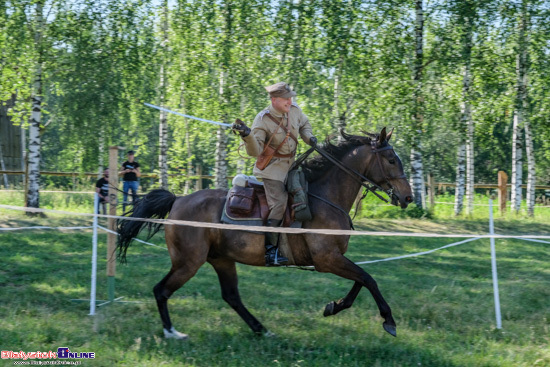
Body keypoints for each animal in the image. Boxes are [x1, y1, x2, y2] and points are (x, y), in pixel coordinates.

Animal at [117, 128, 414, 340]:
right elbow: (368, 279)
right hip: (188, 261)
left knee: (231, 297)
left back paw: (261, 329)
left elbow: (361, 281)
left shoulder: (334, 258)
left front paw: (334, 306)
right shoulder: (327, 259)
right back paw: (172, 332)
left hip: (221, 259)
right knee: (162, 290)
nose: (408, 197)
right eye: (391, 160)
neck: (325, 197)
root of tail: (178, 200)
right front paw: (388, 320)